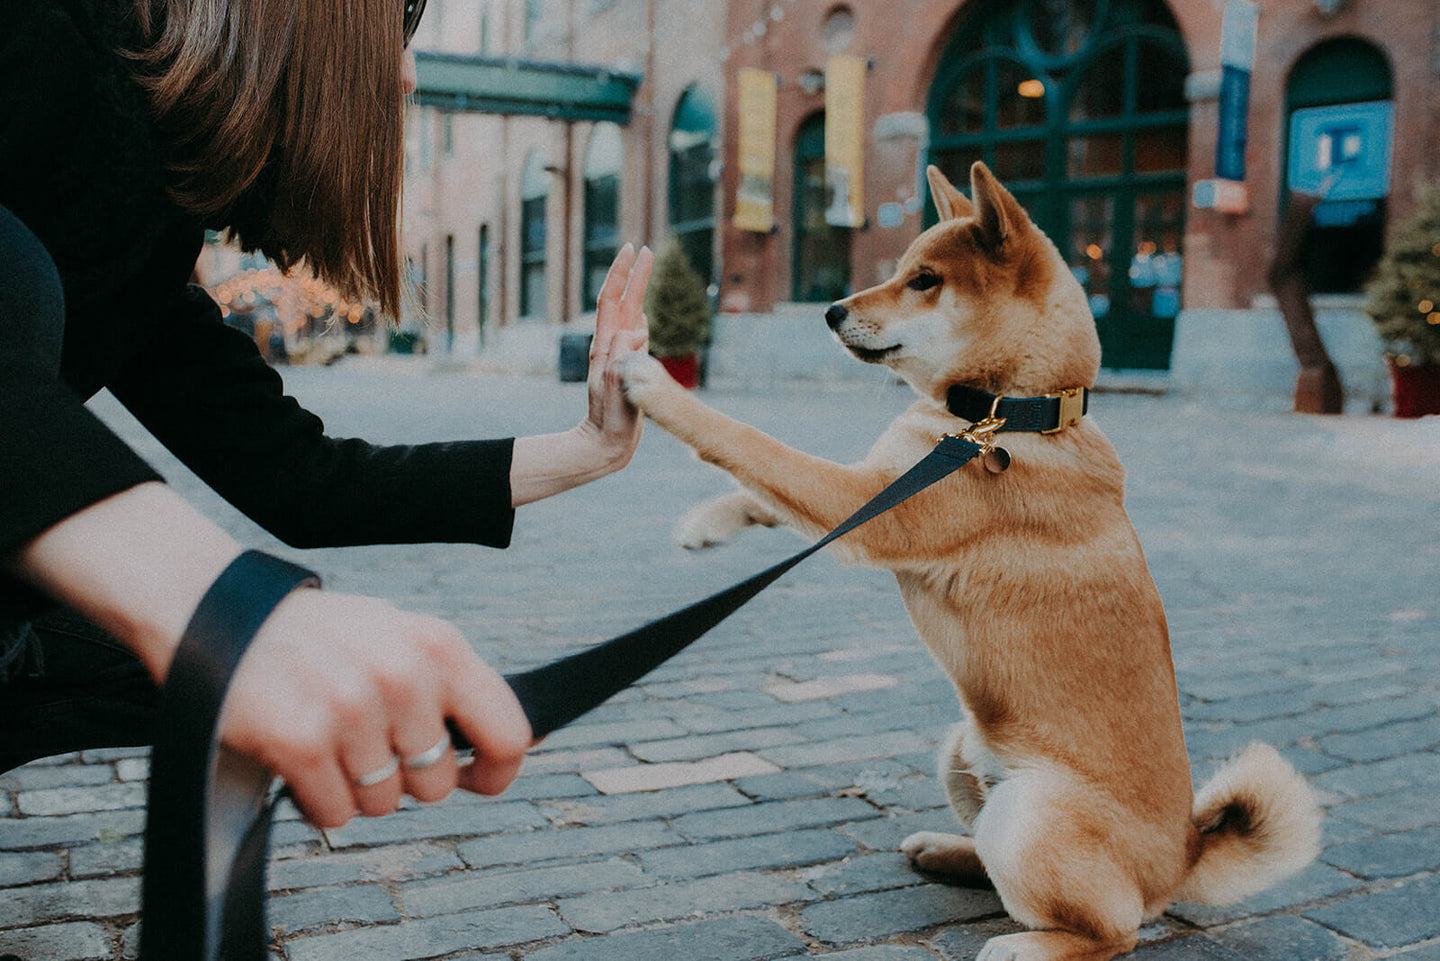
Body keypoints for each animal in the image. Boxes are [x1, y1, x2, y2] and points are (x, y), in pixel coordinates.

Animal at [624, 165, 1319, 961]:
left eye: (924, 281)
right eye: (901, 272)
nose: (830, 311)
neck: (1011, 414)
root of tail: (1184, 855)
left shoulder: (870, 504)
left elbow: (748, 442)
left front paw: (651, 382)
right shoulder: (875, 483)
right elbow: (759, 486)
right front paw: (707, 524)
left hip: (1029, 815)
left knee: (1115, 928)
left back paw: (1028, 943)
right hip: (961, 750)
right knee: (995, 856)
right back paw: (949, 851)